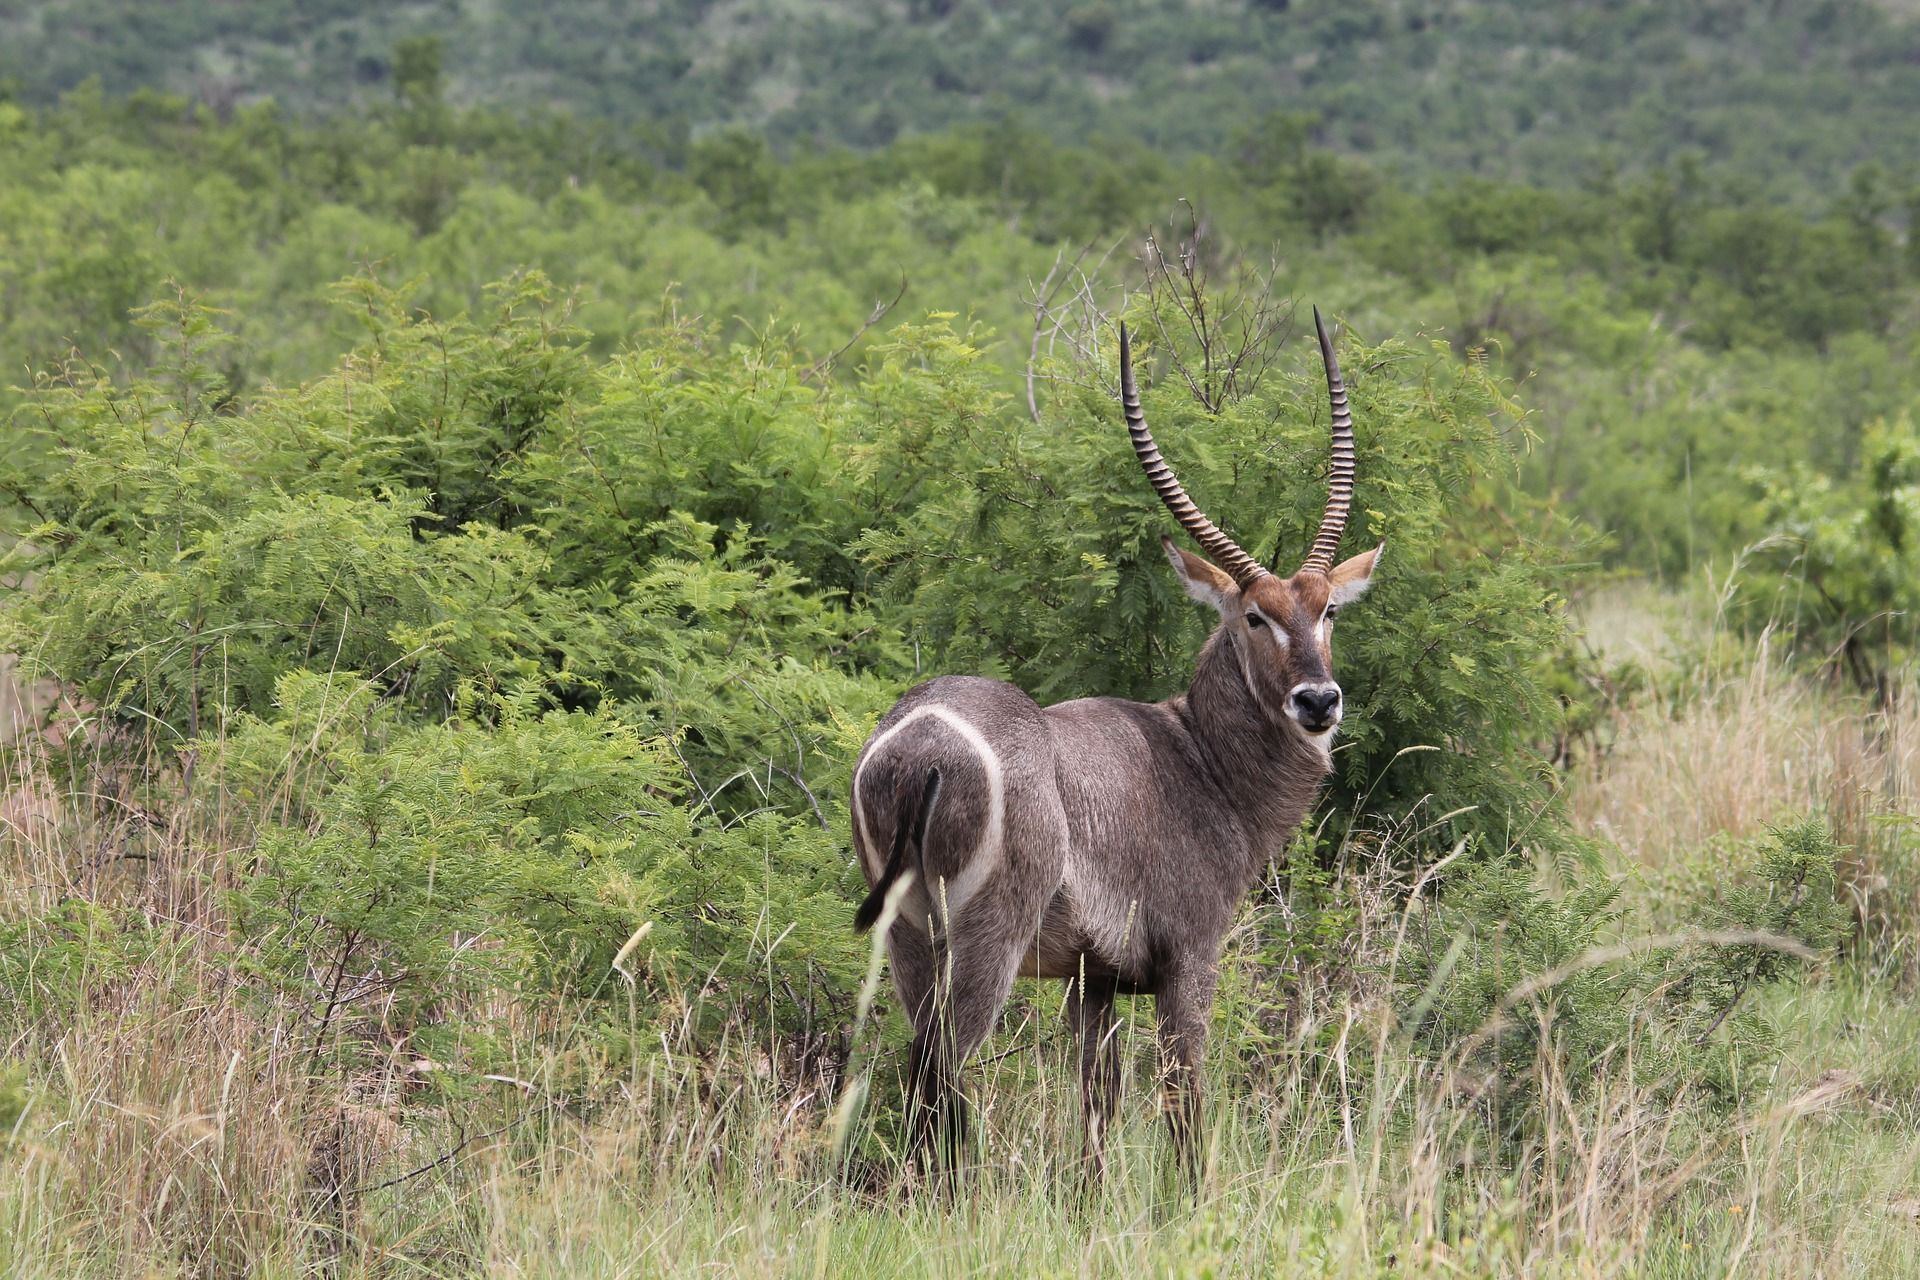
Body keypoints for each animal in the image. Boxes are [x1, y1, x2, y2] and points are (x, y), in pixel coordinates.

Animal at [851, 310, 1383, 1180]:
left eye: (1329, 609)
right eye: (1254, 616)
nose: (1318, 700)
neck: (1198, 758)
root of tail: (920, 742)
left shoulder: (1091, 980)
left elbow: (1096, 1113)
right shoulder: (1189, 960)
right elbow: (1184, 1104)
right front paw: (1193, 1201)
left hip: (906, 938)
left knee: (921, 1068)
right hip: (984, 938)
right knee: (944, 1068)